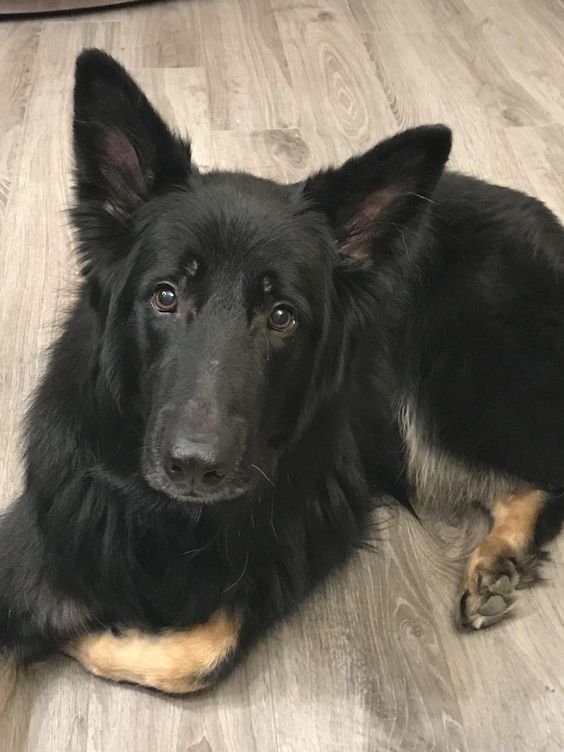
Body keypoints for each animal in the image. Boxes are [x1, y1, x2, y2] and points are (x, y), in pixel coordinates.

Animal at [1, 50, 564, 696]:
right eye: (166, 296)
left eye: (280, 316)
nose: (195, 467)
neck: (174, 516)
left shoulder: (309, 530)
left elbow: (203, 649)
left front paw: (84, 637)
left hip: (455, 396)